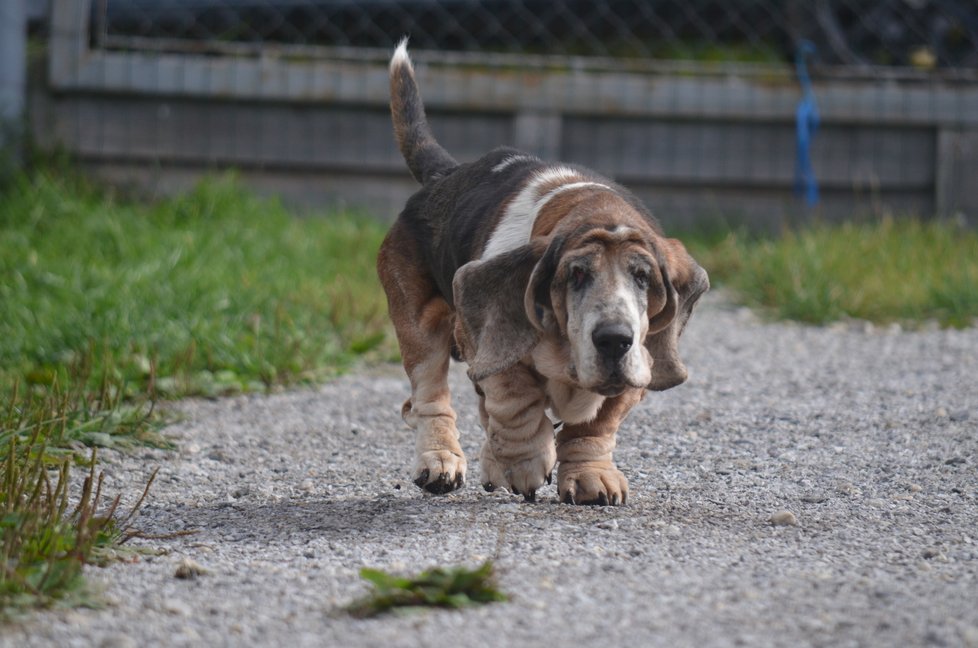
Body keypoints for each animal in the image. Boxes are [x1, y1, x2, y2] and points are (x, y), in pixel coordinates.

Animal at [378, 39, 704, 506]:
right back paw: (441, 463)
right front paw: (526, 464)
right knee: (429, 398)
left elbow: (597, 425)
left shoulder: (638, 366)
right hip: (418, 322)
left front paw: (590, 476)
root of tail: (446, 176)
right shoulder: (489, 345)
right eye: (576, 274)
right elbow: (515, 400)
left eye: (643, 277)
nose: (614, 339)